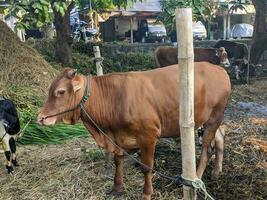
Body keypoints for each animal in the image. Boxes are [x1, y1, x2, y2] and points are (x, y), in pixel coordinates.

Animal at [36, 63, 231, 200]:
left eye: (61, 92)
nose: (41, 118)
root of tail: (219, 69)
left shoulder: (149, 136)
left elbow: (146, 167)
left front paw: (147, 193)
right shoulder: (118, 139)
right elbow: (118, 161)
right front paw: (117, 188)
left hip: (215, 116)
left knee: (206, 148)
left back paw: (197, 178)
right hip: (206, 120)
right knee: (220, 135)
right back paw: (217, 170)